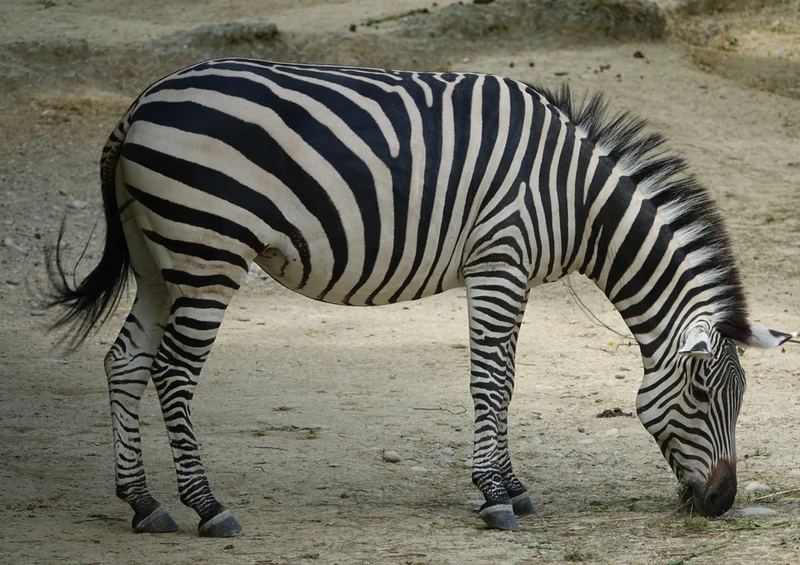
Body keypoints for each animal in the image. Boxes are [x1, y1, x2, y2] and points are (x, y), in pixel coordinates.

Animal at [48, 58, 795, 536]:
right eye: (701, 393)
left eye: (740, 398)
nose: (722, 502)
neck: (578, 200)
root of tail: (140, 103)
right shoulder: (500, 257)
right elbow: (493, 379)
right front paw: (495, 496)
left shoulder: (510, 271)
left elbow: (506, 376)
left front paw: (512, 485)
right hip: (208, 250)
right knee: (173, 372)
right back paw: (207, 506)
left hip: (160, 258)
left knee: (124, 361)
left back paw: (143, 502)